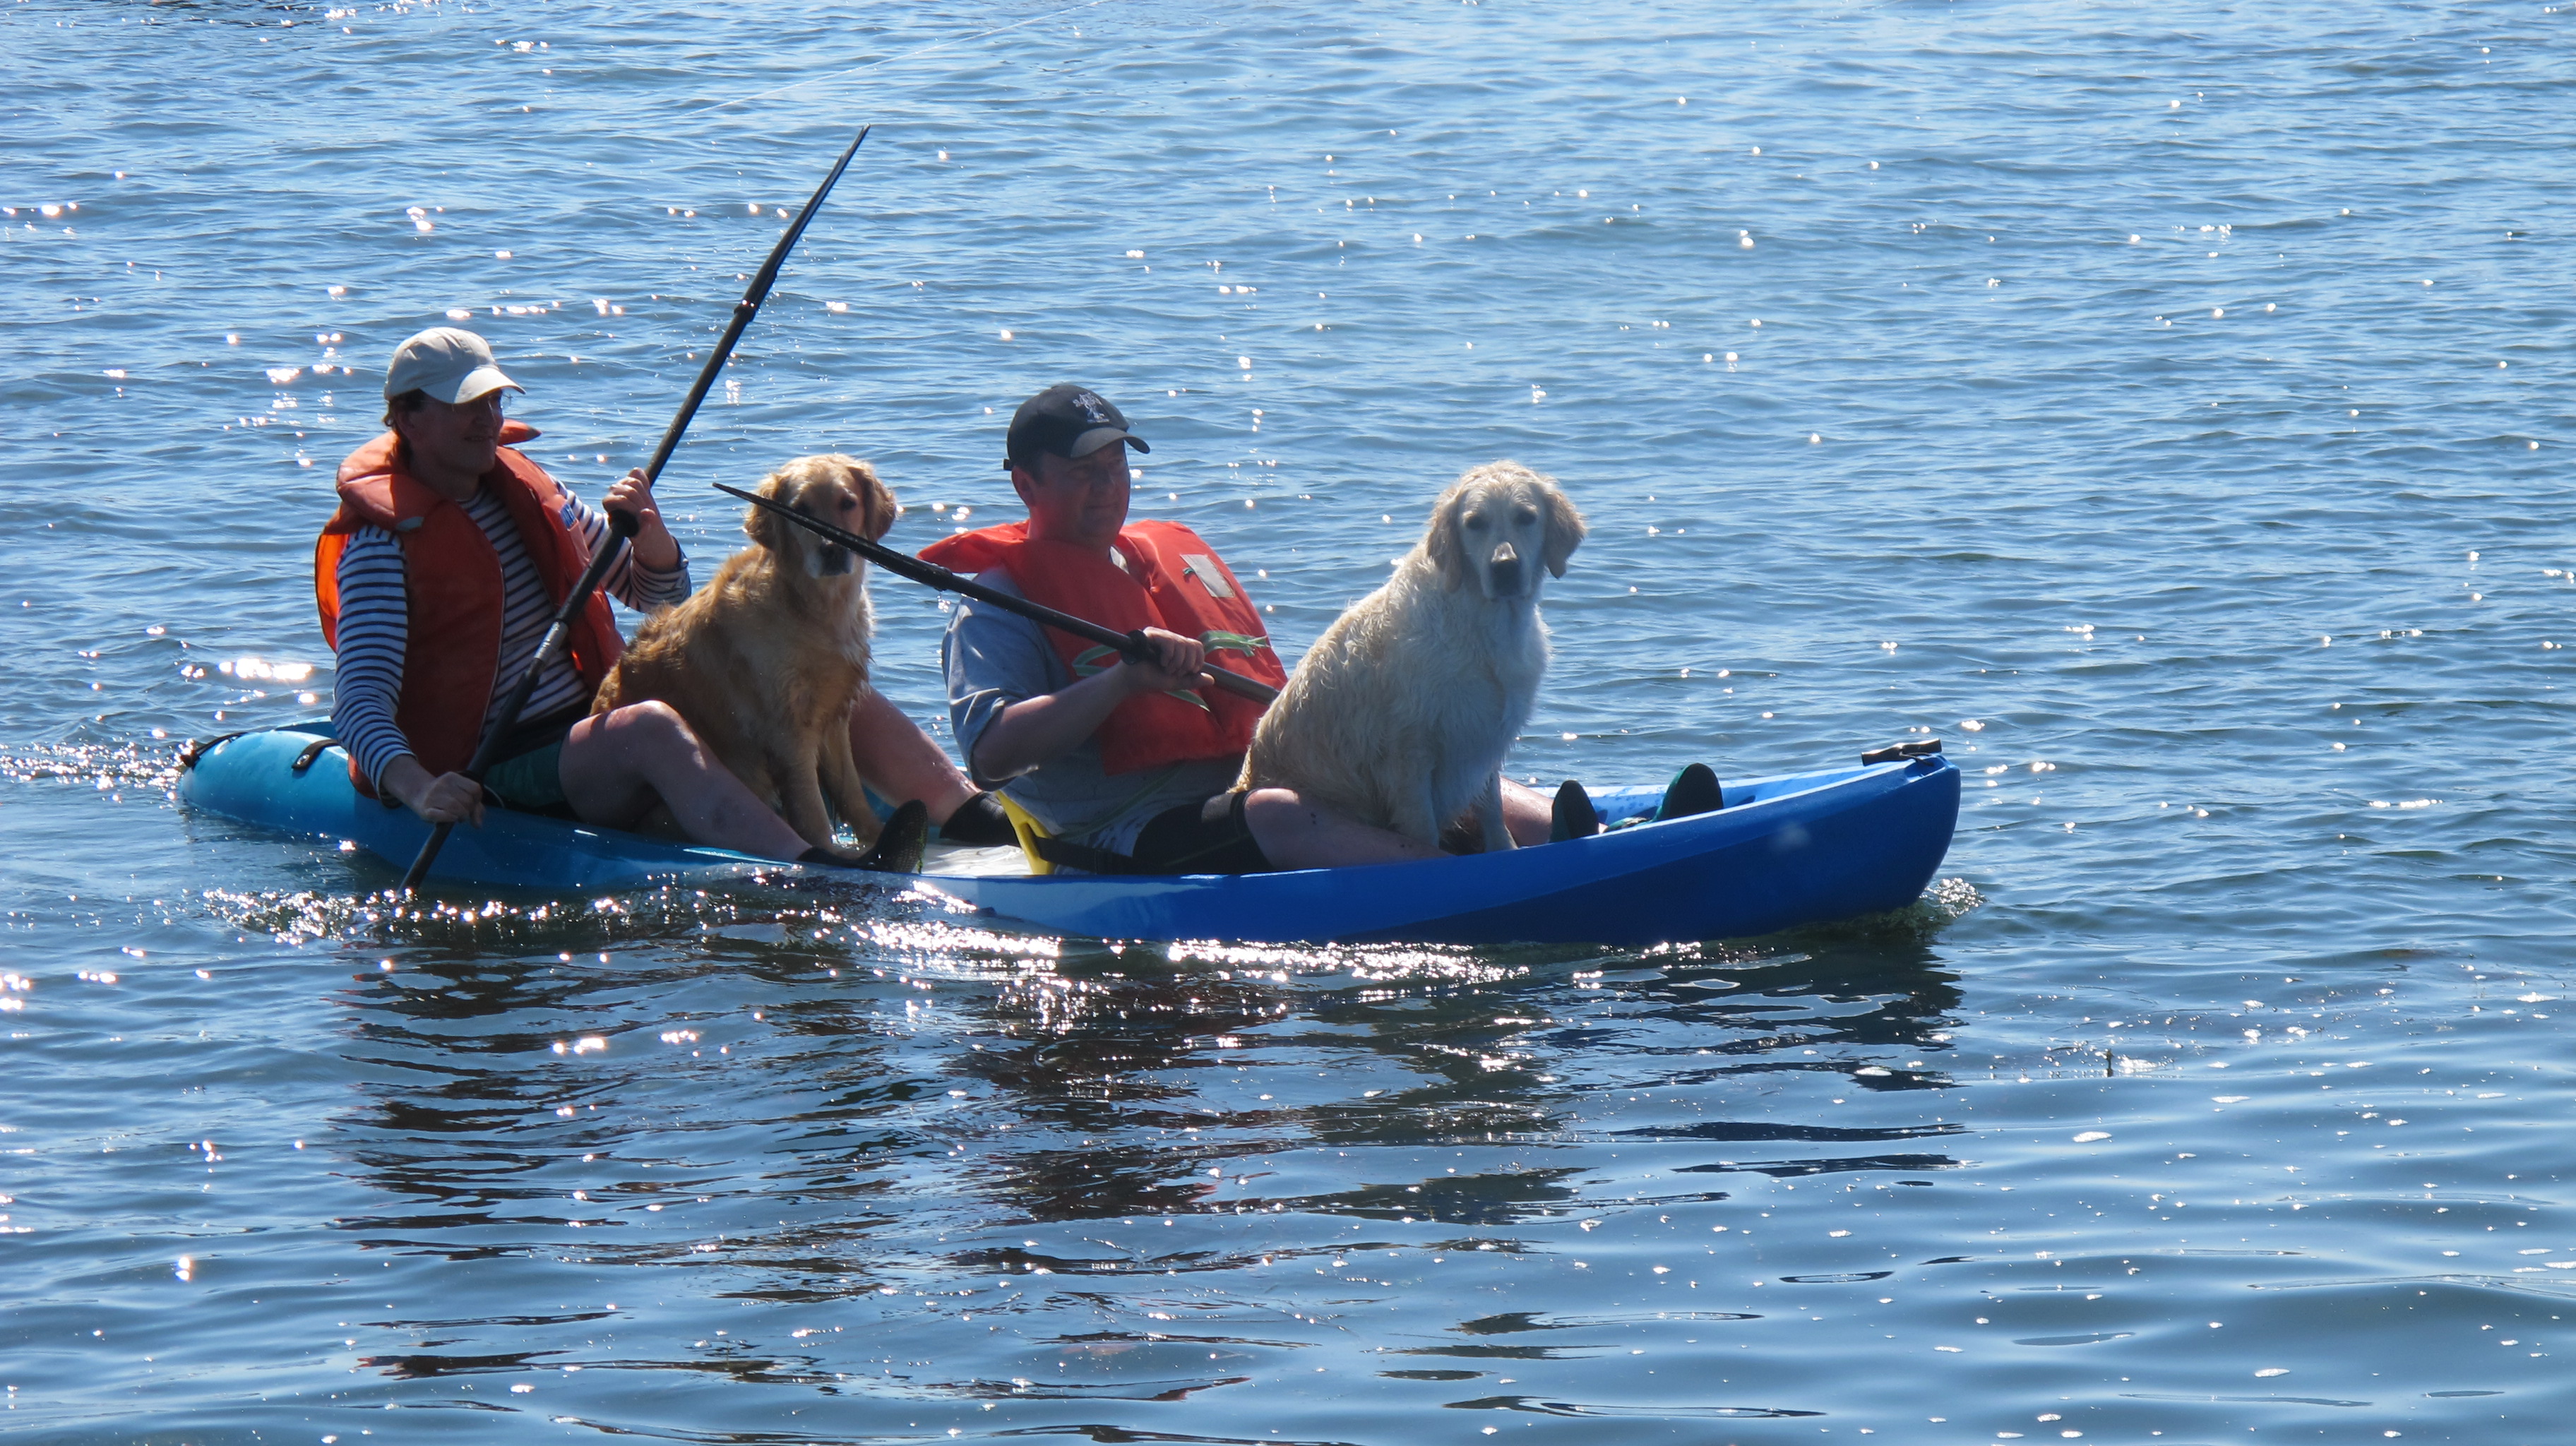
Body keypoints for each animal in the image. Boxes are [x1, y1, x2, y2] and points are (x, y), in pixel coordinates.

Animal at [591, 453, 897, 857]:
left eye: (848, 503)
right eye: (800, 510)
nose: (833, 549)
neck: (811, 609)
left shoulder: (835, 713)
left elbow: (851, 791)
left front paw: (877, 838)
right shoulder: (787, 731)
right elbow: (812, 810)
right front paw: (833, 854)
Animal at [1240, 460, 1585, 853]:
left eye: (1526, 517)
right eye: (1475, 523)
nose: (1505, 567)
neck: (1482, 624)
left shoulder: (1482, 737)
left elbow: (1493, 810)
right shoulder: (1410, 753)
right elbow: (1423, 833)